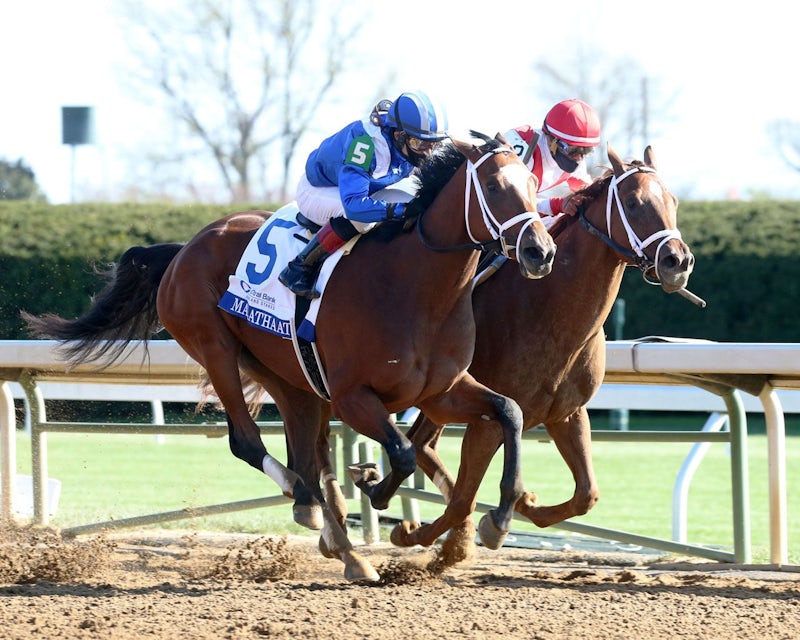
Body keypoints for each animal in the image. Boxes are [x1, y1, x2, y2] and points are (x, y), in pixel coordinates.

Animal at [23, 133, 557, 581]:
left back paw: (340, 542)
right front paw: (373, 485)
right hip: (216, 347)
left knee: (304, 450)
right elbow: (404, 452)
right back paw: (309, 502)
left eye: (534, 184)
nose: (540, 251)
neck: (417, 287)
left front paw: (500, 518)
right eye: (494, 185)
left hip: (287, 375)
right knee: (248, 441)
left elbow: (509, 411)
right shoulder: (351, 398)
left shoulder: (440, 391)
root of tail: (184, 248)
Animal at [379, 145, 697, 563]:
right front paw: (436, 532)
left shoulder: (566, 414)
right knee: (420, 447)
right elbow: (464, 498)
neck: (550, 314)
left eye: (672, 200)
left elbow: (586, 495)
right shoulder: (489, 421)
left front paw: (519, 505)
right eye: (632, 201)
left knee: (422, 444)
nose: (678, 261)